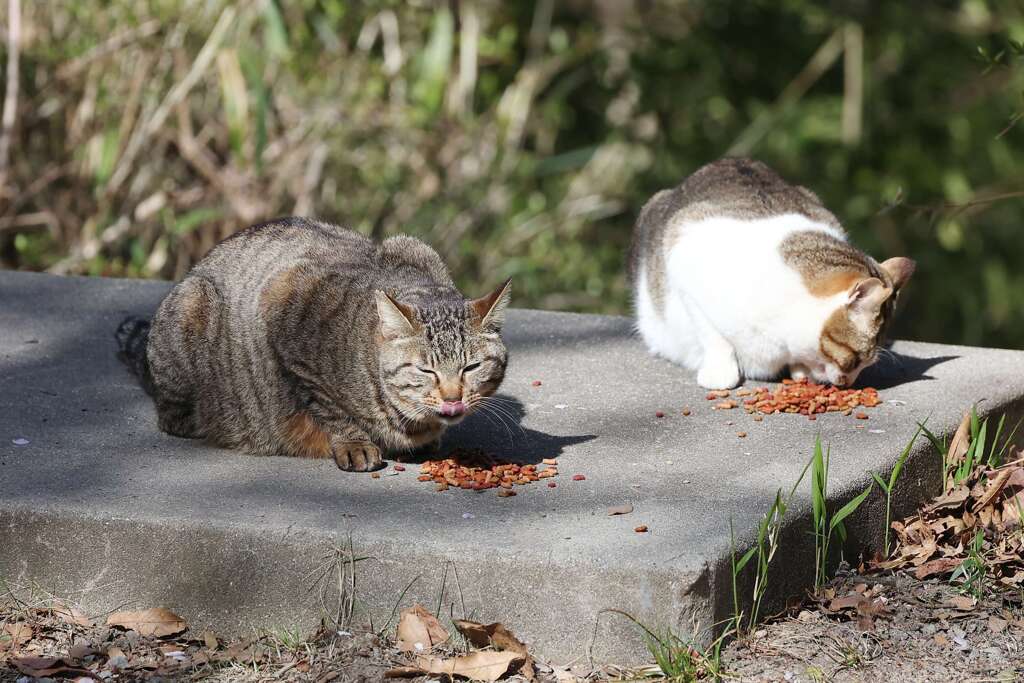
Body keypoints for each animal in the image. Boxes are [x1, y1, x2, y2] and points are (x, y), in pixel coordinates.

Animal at [117, 219, 512, 471]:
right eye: (426, 370)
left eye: (471, 367)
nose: (452, 399)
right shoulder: (284, 301)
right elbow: (327, 405)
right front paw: (354, 443)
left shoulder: (412, 245)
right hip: (192, 309)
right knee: (171, 413)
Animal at [626, 156, 917, 389]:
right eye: (855, 360)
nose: (850, 383)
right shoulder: (681, 254)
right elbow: (712, 333)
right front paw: (721, 372)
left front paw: (800, 371)